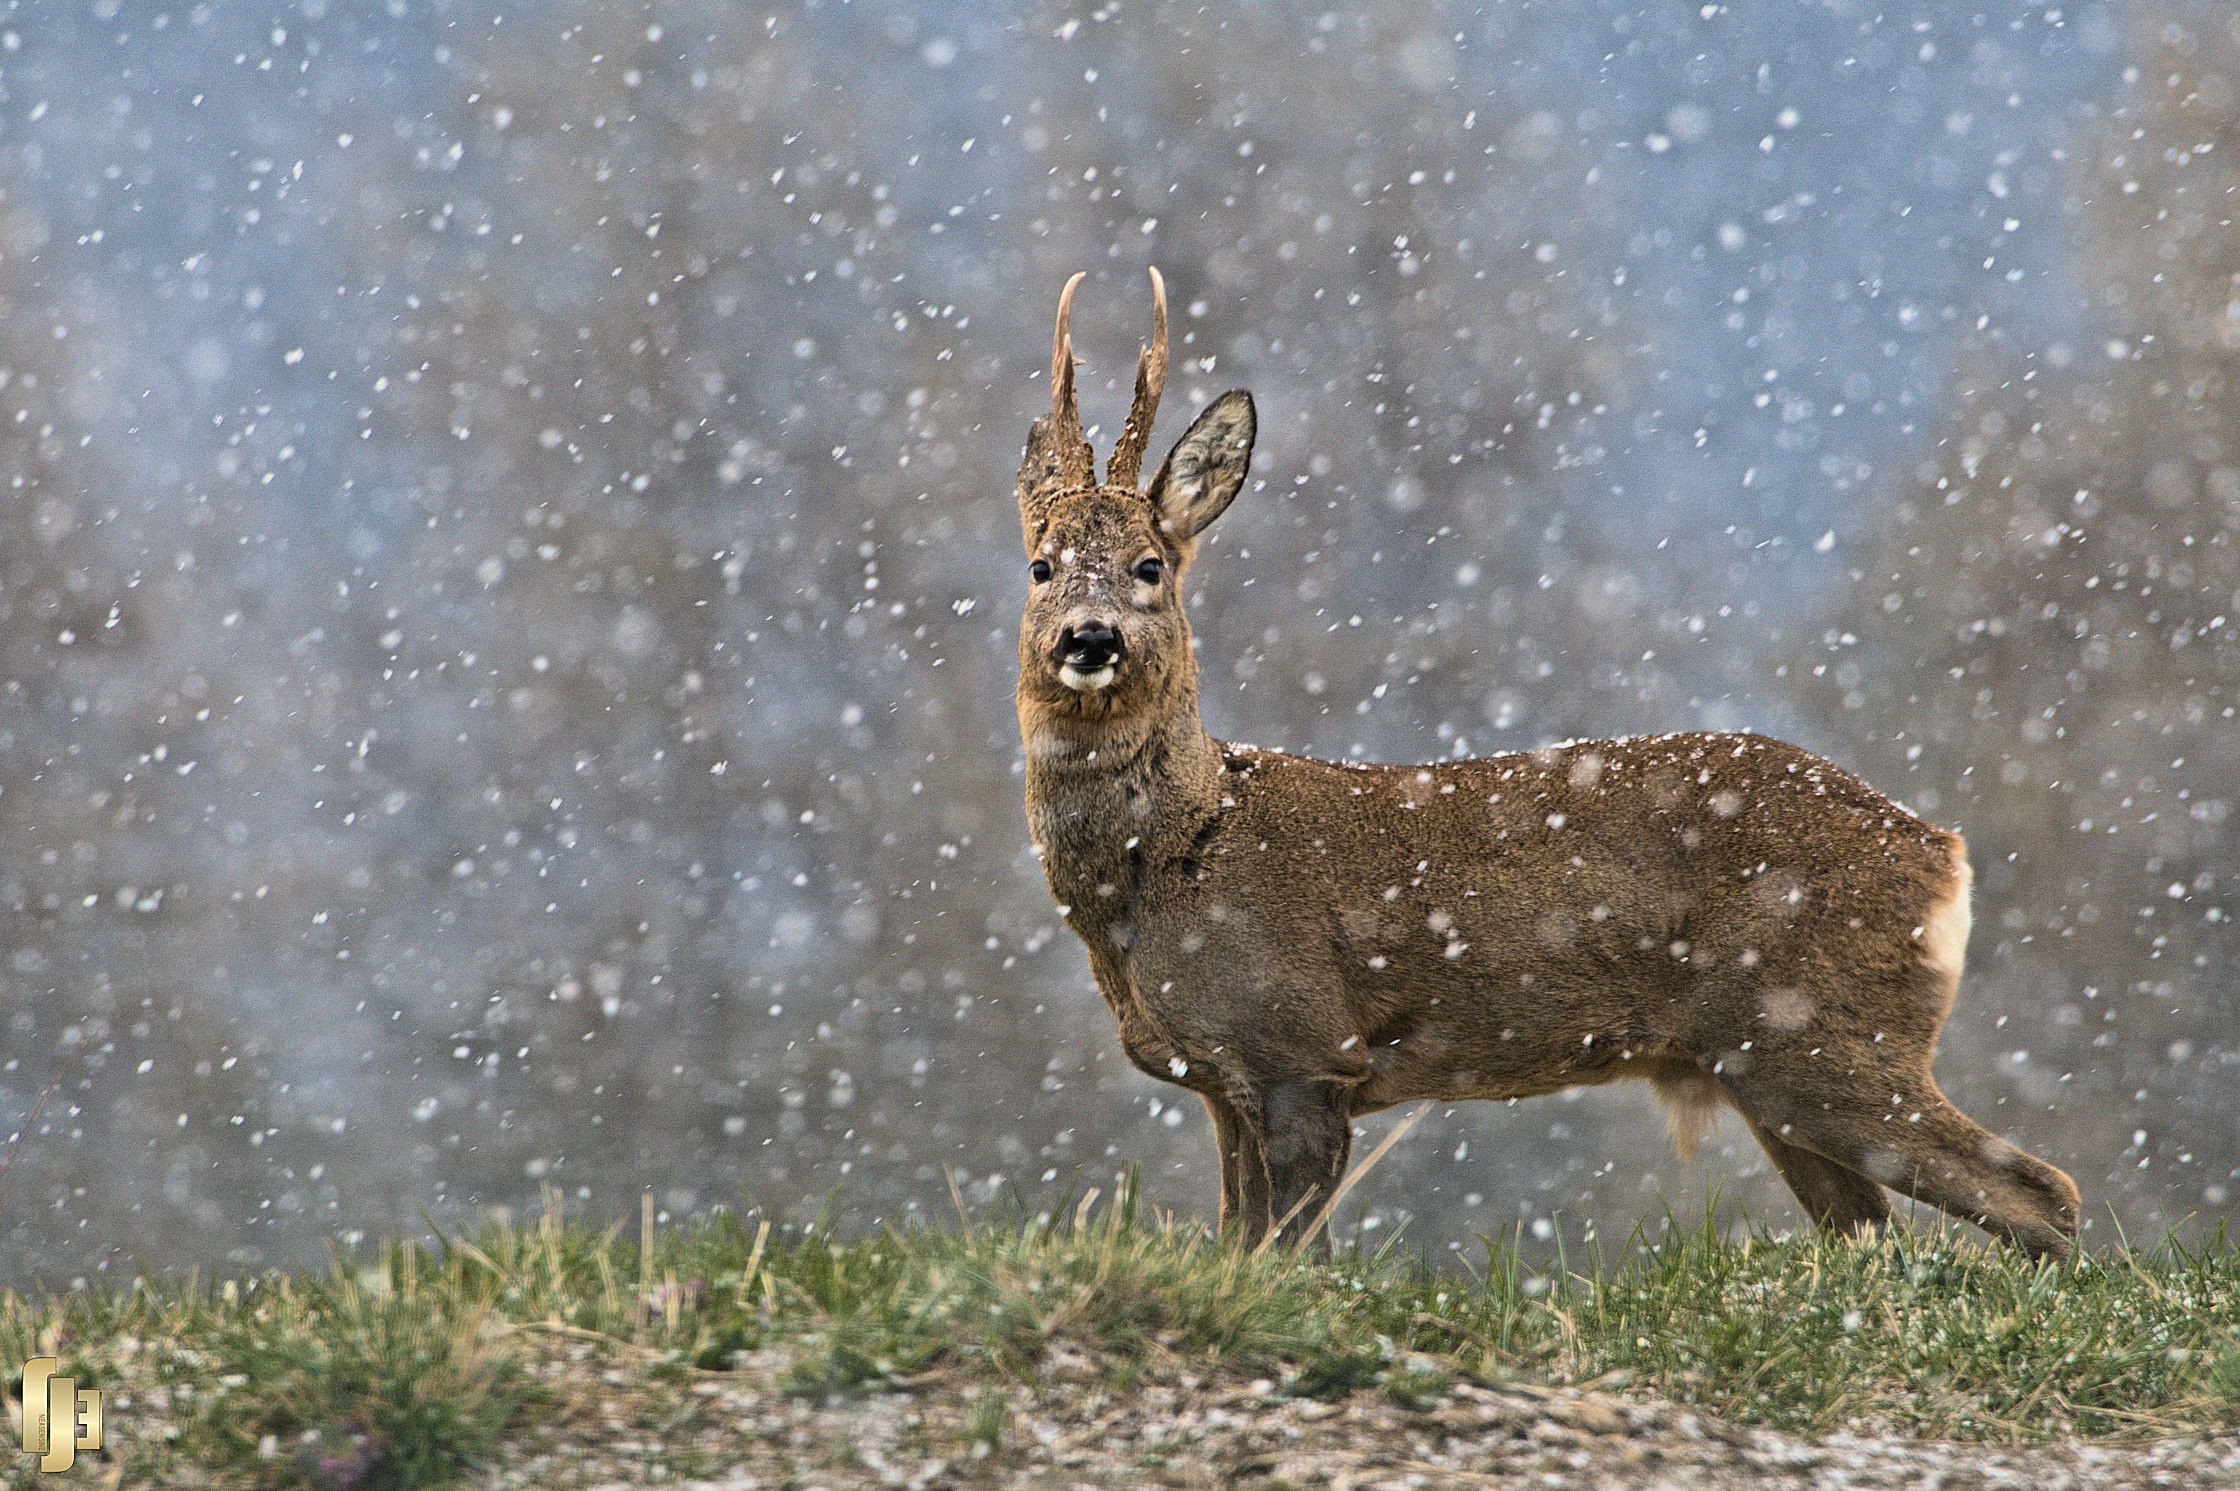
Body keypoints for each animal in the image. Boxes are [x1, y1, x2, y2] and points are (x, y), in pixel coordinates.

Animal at [1016, 267, 2078, 1253]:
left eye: (1151, 566)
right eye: (1039, 564)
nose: (1090, 637)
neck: (1180, 853)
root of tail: (1943, 852)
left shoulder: (1303, 1050)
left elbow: (1280, 1251)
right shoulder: (1219, 1081)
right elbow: (1237, 1243)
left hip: (1824, 1032)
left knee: (2039, 1191)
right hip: (1770, 1066)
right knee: (1870, 1229)